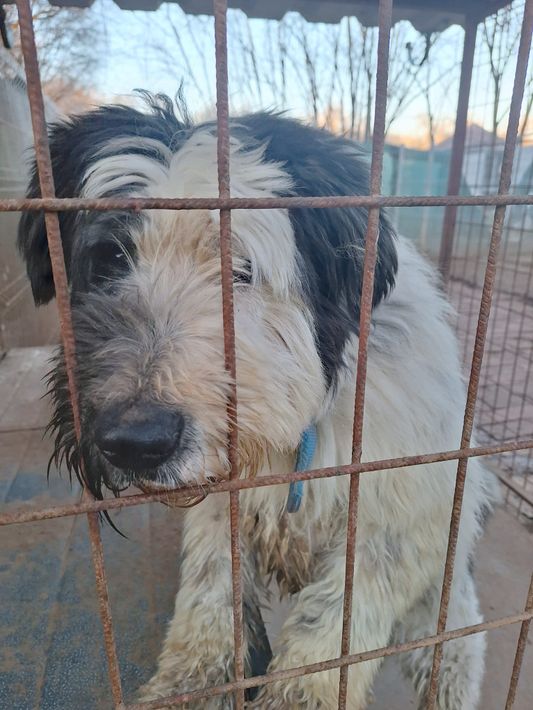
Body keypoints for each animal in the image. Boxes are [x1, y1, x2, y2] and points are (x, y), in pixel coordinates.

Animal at [19, 94, 496, 709]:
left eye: (240, 269)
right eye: (111, 259)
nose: (135, 441)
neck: (299, 433)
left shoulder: (391, 524)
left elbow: (334, 623)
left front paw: (299, 692)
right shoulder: (218, 505)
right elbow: (211, 591)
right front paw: (194, 682)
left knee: (454, 650)